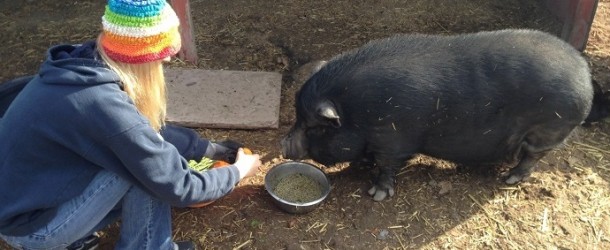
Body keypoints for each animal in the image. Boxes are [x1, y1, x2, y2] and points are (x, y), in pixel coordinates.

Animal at [282, 29, 592, 201]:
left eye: (313, 127)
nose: (283, 144)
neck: (357, 110)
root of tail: (584, 77)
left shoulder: (392, 138)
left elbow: (387, 166)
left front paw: (377, 195)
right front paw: (360, 166)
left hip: (548, 129)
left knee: (532, 156)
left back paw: (510, 179)